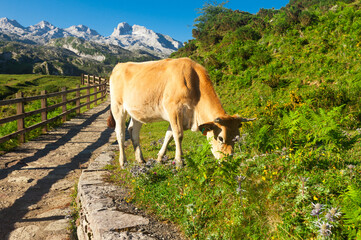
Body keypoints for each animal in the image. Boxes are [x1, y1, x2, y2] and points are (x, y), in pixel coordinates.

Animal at [108, 57, 255, 168]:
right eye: (220, 138)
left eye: (237, 137)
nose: (228, 160)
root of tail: (120, 65)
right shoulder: (174, 109)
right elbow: (178, 135)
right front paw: (179, 161)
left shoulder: (179, 116)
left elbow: (169, 135)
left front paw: (160, 157)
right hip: (118, 107)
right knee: (120, 133)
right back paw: (123, 161)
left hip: (137, 112)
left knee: (133, 132)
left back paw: (140, 159)